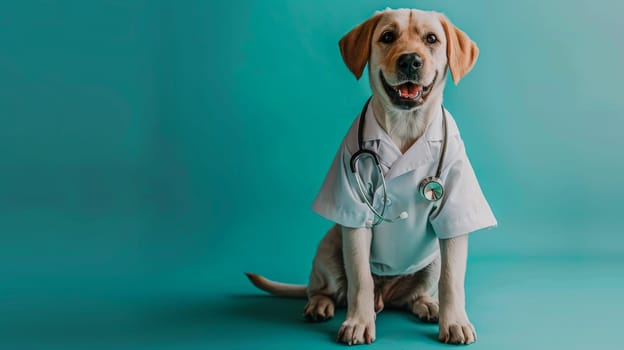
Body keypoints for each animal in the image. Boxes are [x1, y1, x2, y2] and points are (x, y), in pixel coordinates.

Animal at [246, 7, 494, 344]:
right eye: (387, 37)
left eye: (431, 39)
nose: (410, 60)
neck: (404, 125)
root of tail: (384, 296)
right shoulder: (353, 212)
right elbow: (360, 279)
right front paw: (358, 323)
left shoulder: (454, 214)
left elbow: (452, 280)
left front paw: (453, 320)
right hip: (329, 247)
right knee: (324, 288)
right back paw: (320, 305)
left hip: (431, 261)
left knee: (416, 294)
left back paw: (428, 305)